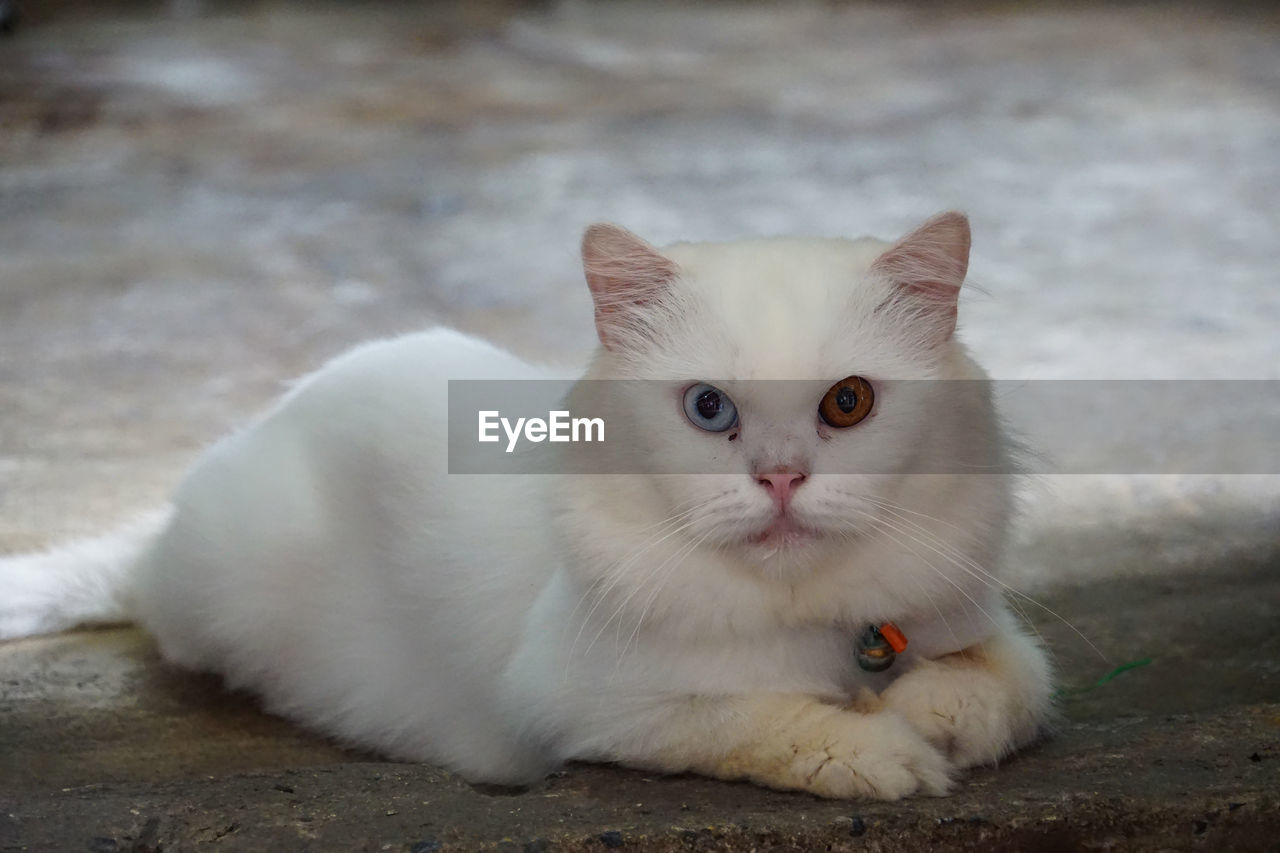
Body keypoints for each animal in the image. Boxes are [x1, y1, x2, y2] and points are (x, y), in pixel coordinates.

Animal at [2, 211, 1049, 799]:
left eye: (849, 404)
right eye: (709, 408)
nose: (782, 477)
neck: (815, 623)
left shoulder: (982, 627)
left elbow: (1003, 688)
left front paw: (932, 711)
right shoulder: (585, 707)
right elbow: (758, 719)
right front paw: (888, 753)